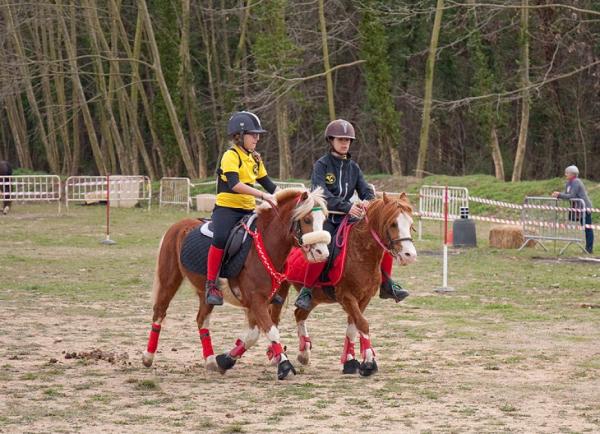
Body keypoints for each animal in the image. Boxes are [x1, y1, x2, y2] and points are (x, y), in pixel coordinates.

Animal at [143, 189, 330, 380]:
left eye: (323, 220)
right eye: (307, 219)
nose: (322, 253)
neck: (265, 246)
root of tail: (178, 225)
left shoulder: (259, 303)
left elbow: (253, 335)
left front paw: (225, 360)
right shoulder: (256, 300)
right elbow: (271, 331)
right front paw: (284, 366)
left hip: (205, 293)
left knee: (202, 320)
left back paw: (210, 360)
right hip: (169, 280)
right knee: (159, 312)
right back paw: (148, 357)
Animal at [272, 193, 418, 376]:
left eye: (410, 224)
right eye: (393, 224)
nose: (409, 255)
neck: (360, 252)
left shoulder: (364, 298)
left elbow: (353, 327)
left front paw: (350, 361)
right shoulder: (346, 297)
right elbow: (362, 324)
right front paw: (368, 362)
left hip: (315, 297)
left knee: (299, 314)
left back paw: (304, 354)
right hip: (280, 288)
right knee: (274, 318)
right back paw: (276, 357)